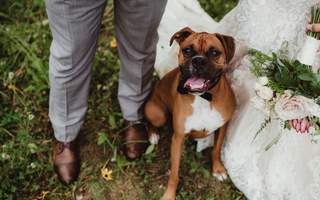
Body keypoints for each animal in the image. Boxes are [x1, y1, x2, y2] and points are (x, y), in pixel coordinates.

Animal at [144, 27, 236, 200]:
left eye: (215, 53)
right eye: (187, 50)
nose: (198, 61)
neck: (203, 98)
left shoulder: (222, 126)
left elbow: (215, 150)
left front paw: (218, 169)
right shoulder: (178, 138)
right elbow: (174, 173)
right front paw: (169, 194)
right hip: (158, 114)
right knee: (149, 121)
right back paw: (153, 135)